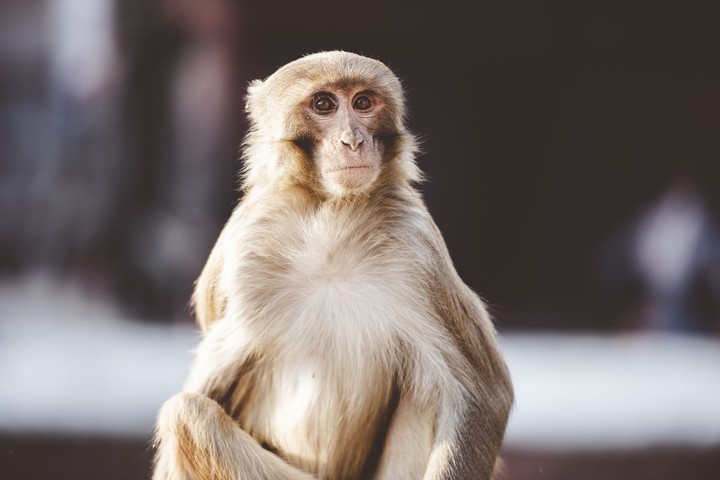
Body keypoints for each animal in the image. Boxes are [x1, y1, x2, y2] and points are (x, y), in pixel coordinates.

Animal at [153, 51, 513, 480]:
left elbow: (482, 394)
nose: (353, 140)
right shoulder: (246, 251)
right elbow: (202, 390)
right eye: (324, 104)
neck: (330, 222)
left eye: (363, 103)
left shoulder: (416, 247)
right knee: (188, 411)